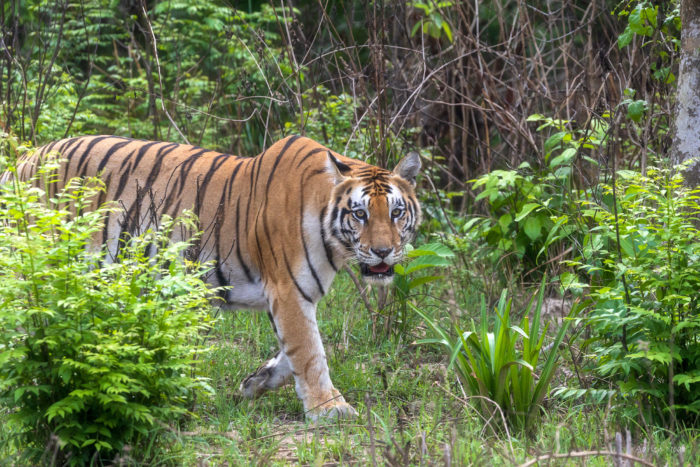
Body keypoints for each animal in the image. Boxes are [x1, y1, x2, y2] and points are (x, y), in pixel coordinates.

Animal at [8, 135, 422, 421]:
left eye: (396, 212)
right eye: (360, 214)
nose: (383, 251)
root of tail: (23, 160)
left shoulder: (298, 296)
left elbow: (296, 353)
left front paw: (255, 382)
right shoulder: (288, 291)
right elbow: (310, 353)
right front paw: (331, 409)